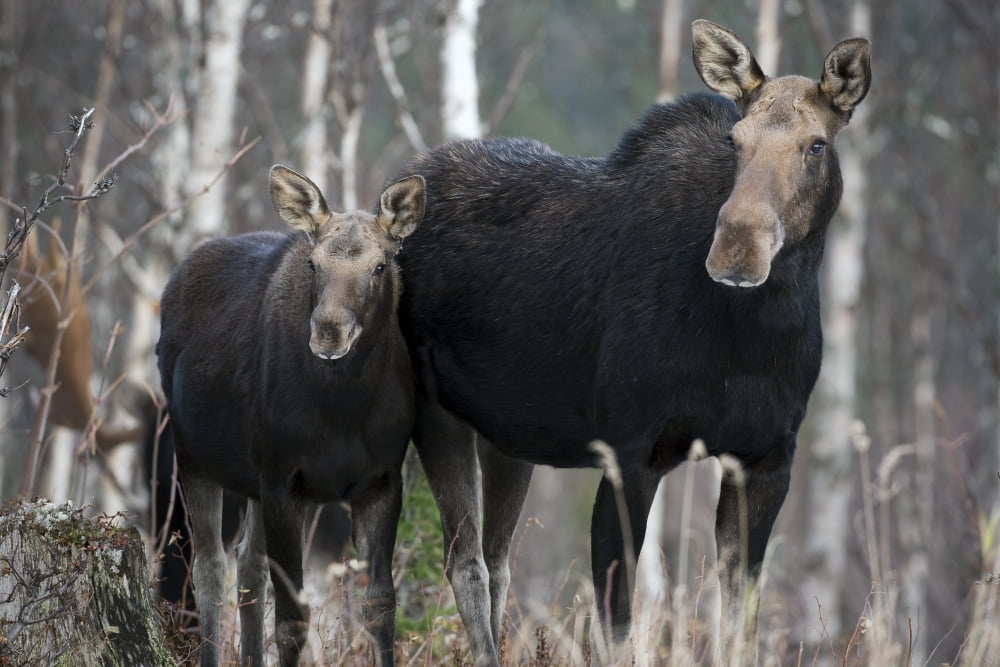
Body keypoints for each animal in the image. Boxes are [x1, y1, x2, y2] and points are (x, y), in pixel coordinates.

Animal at [156, 166, 425, 666]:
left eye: (381, 266)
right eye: (313, 264)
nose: (329, 332)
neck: (345, 411)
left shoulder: (382, 480)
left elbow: (380, 604)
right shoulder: (284, 480)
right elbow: (291, 619)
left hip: (251, 482)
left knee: (247, 566)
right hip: (195, 458)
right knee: (209, 570)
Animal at [395, 19, 871, 664]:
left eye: (816, 144)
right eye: (735, 141)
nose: (737, 249)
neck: (751, 338)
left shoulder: (767, 457)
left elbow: (738, 622)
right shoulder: (629, 453)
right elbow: (617, 625)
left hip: (507, 437)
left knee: (497, 561)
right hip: (431, 413)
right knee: (464, 564)